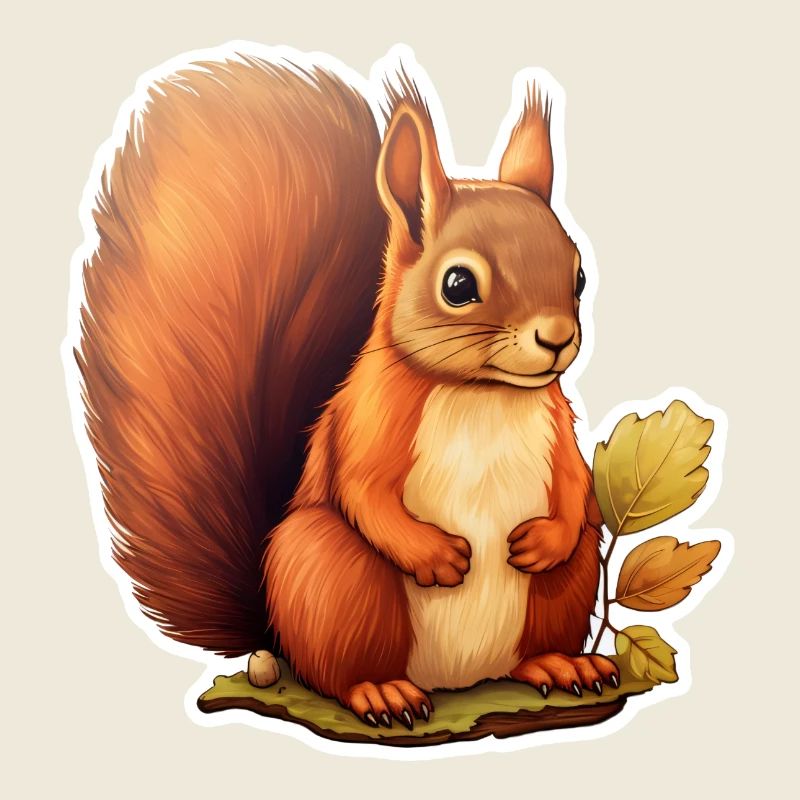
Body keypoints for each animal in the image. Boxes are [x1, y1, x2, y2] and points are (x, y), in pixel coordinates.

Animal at [76, 52, 619, 731]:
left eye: (580, 275)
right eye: (459, 284)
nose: (557, 339)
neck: (483, 394)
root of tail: (465, 679)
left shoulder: (557, 421)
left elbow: (574, 482)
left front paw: (546, 538)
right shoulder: (366, 419)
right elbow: (361, 486)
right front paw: (436, 557)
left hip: (565, 585)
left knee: (546, 618)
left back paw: (560, 664)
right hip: (331, 569)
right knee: (340, 670)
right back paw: (380, 693)